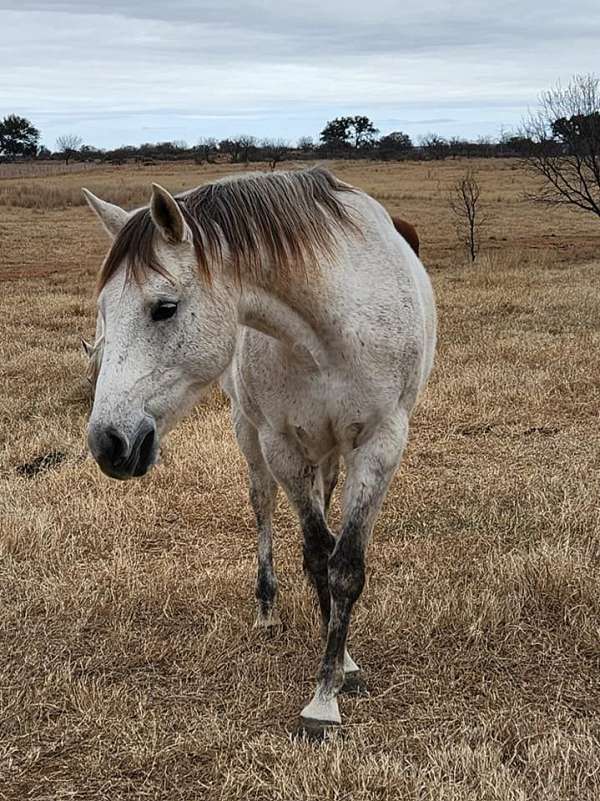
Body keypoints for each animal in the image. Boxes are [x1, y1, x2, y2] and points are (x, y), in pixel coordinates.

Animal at [81, 169, 436, 736]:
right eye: (103, 312)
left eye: (164, 308)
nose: (108, 443)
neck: (329, 332)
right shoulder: (280, 443)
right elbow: (317, 555)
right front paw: (331, 681)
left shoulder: (381, 444)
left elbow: (345, 565)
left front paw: (330, 685)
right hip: (250, 434)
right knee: (263, 506)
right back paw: (268, 607)